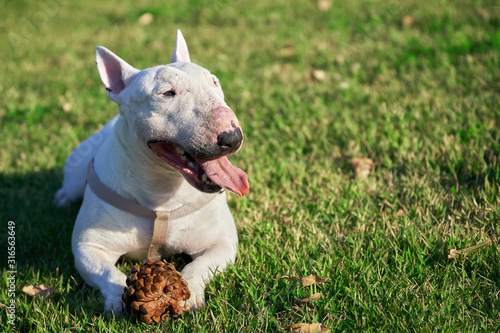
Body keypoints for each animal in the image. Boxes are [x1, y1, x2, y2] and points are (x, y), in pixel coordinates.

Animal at [53, 30, 249, 314]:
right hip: (77, 174)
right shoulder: (89, 247)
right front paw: (117, 300)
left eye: (214, 82)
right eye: (167, 93)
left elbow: (197, 265)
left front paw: (188, 295)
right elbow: (107, 273)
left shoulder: (221, 243)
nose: (232, 138)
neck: (163, 192)